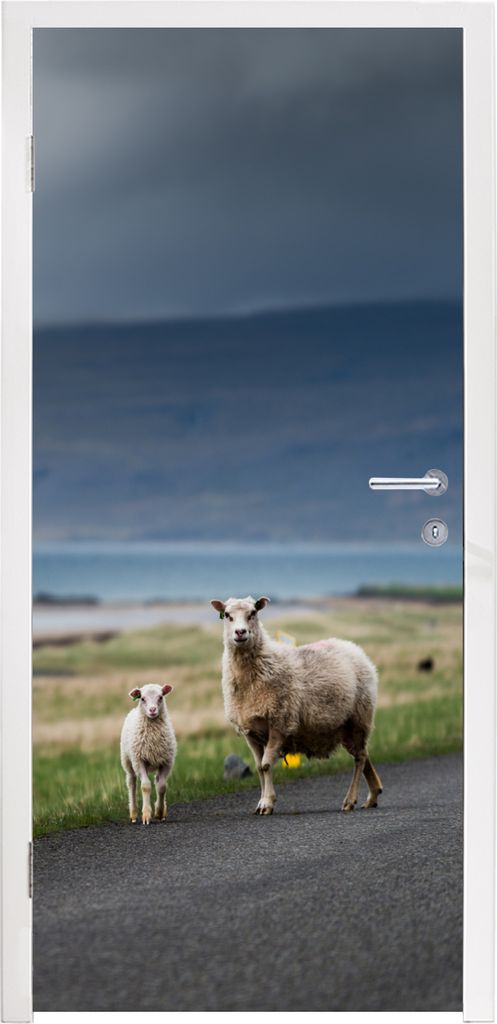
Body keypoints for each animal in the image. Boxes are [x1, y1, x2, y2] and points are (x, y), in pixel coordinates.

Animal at [120, 682, 177, 825]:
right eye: (142, 698)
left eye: (161, 697)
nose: (152, 710)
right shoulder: (139, 761)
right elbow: (145, 786)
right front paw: (146, 815)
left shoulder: (166, 761)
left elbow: (162, 787)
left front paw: (159, 812)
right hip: (127, 761)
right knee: (132, 783)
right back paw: (133, 813)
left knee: (157, 781)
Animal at [211, 595, 382, 815]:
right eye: (227, 615)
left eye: (253, 613)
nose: (240, 632)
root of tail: (355, 649)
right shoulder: (250, 732)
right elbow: (258, 767)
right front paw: (263, 801)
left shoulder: (279, 722)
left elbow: (266, 765)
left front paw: (267, 803)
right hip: (346, 726)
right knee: (364, 754)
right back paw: (373, 795)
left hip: (359, 717)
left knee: (359, 758)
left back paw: (350, 800)